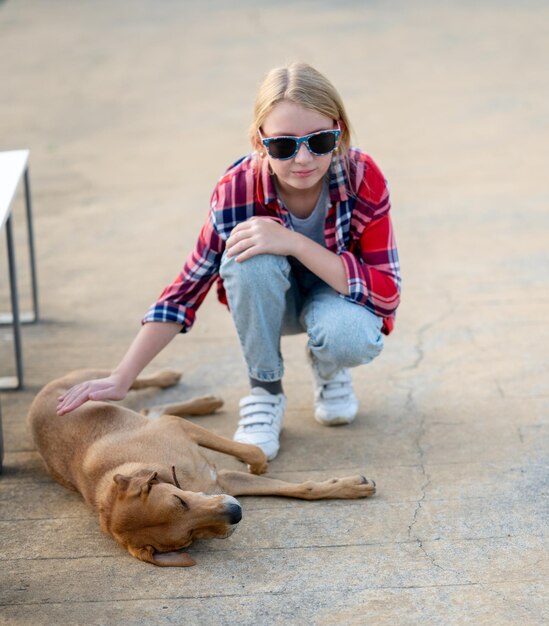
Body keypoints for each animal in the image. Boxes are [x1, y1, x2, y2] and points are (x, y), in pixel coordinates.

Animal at [27, 368, 374, 564]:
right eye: (189, 539)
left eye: (178, 500)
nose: (236, 513)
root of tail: (36, 400)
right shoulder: (226, 483)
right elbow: (302, 488)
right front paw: (348, 487)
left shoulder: (181, 431)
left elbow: (253, 452)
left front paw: (262, 463)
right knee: (150, 408)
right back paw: (204, 402)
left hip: (99, 382)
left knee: (134, 382)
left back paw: (171, 380)